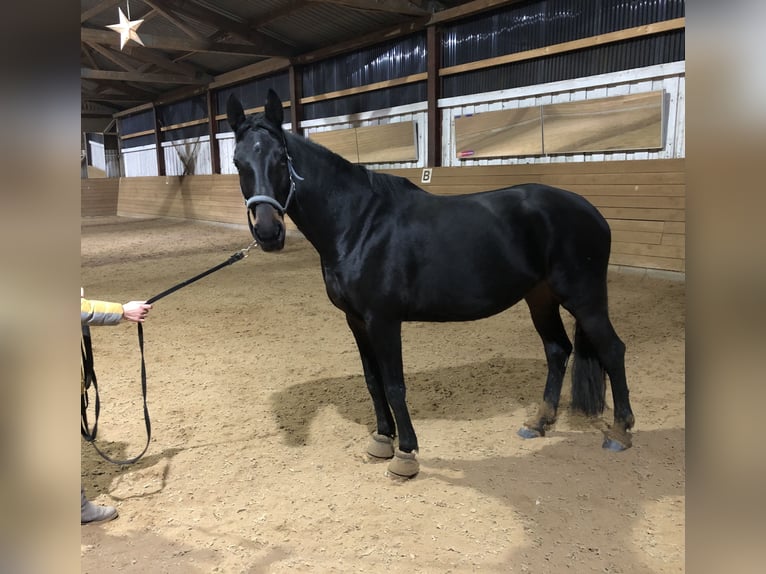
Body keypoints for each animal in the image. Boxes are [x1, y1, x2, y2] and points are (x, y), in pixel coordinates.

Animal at [228, 89, 636, 476]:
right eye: (238, 162)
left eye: (281, 159)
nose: (268, 232)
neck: (359, 223)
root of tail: (591, 212)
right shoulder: (356, 321)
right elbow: (372, 381)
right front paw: (381, 439)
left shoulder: (383, 320)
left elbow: (394, 385)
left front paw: (405, 453)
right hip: (540, 297)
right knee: (557, 350)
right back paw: (538, 423)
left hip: (584, 297)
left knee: (612, 350)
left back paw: (620, 432)